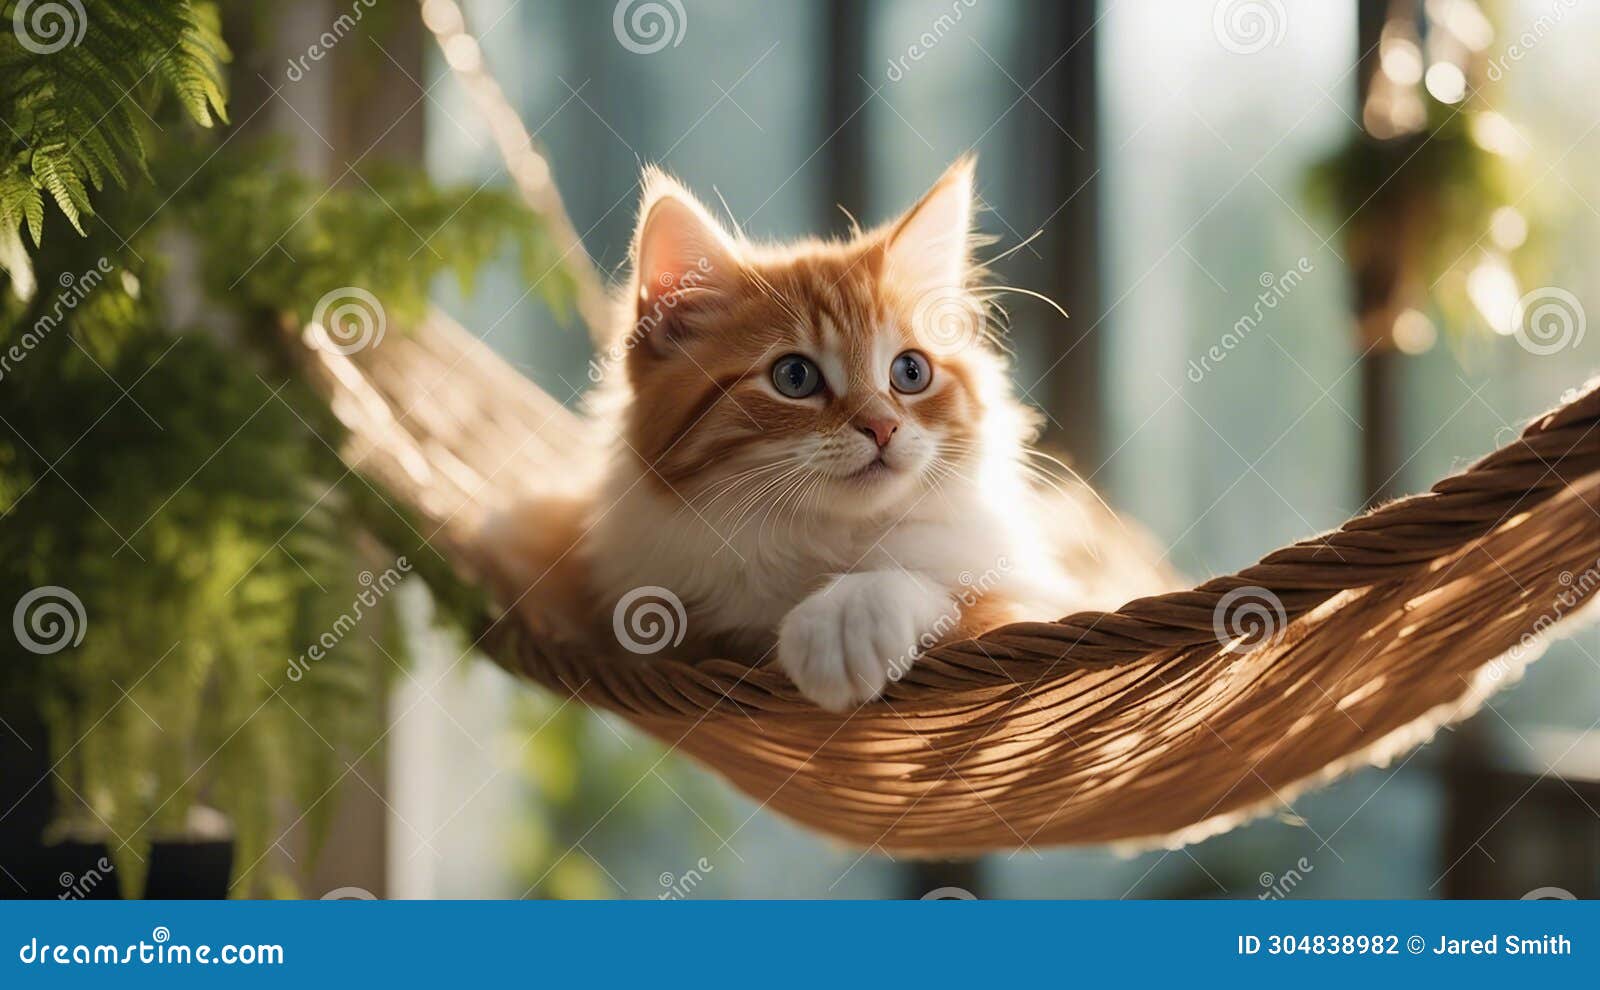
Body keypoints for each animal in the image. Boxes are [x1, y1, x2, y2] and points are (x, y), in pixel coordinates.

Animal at [489, 156, 1088, 713]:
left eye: (910, 372)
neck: (820, 541)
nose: (883, 426)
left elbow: (949, 591)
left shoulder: (1036, 600)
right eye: (794, 377)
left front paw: (845, 617)